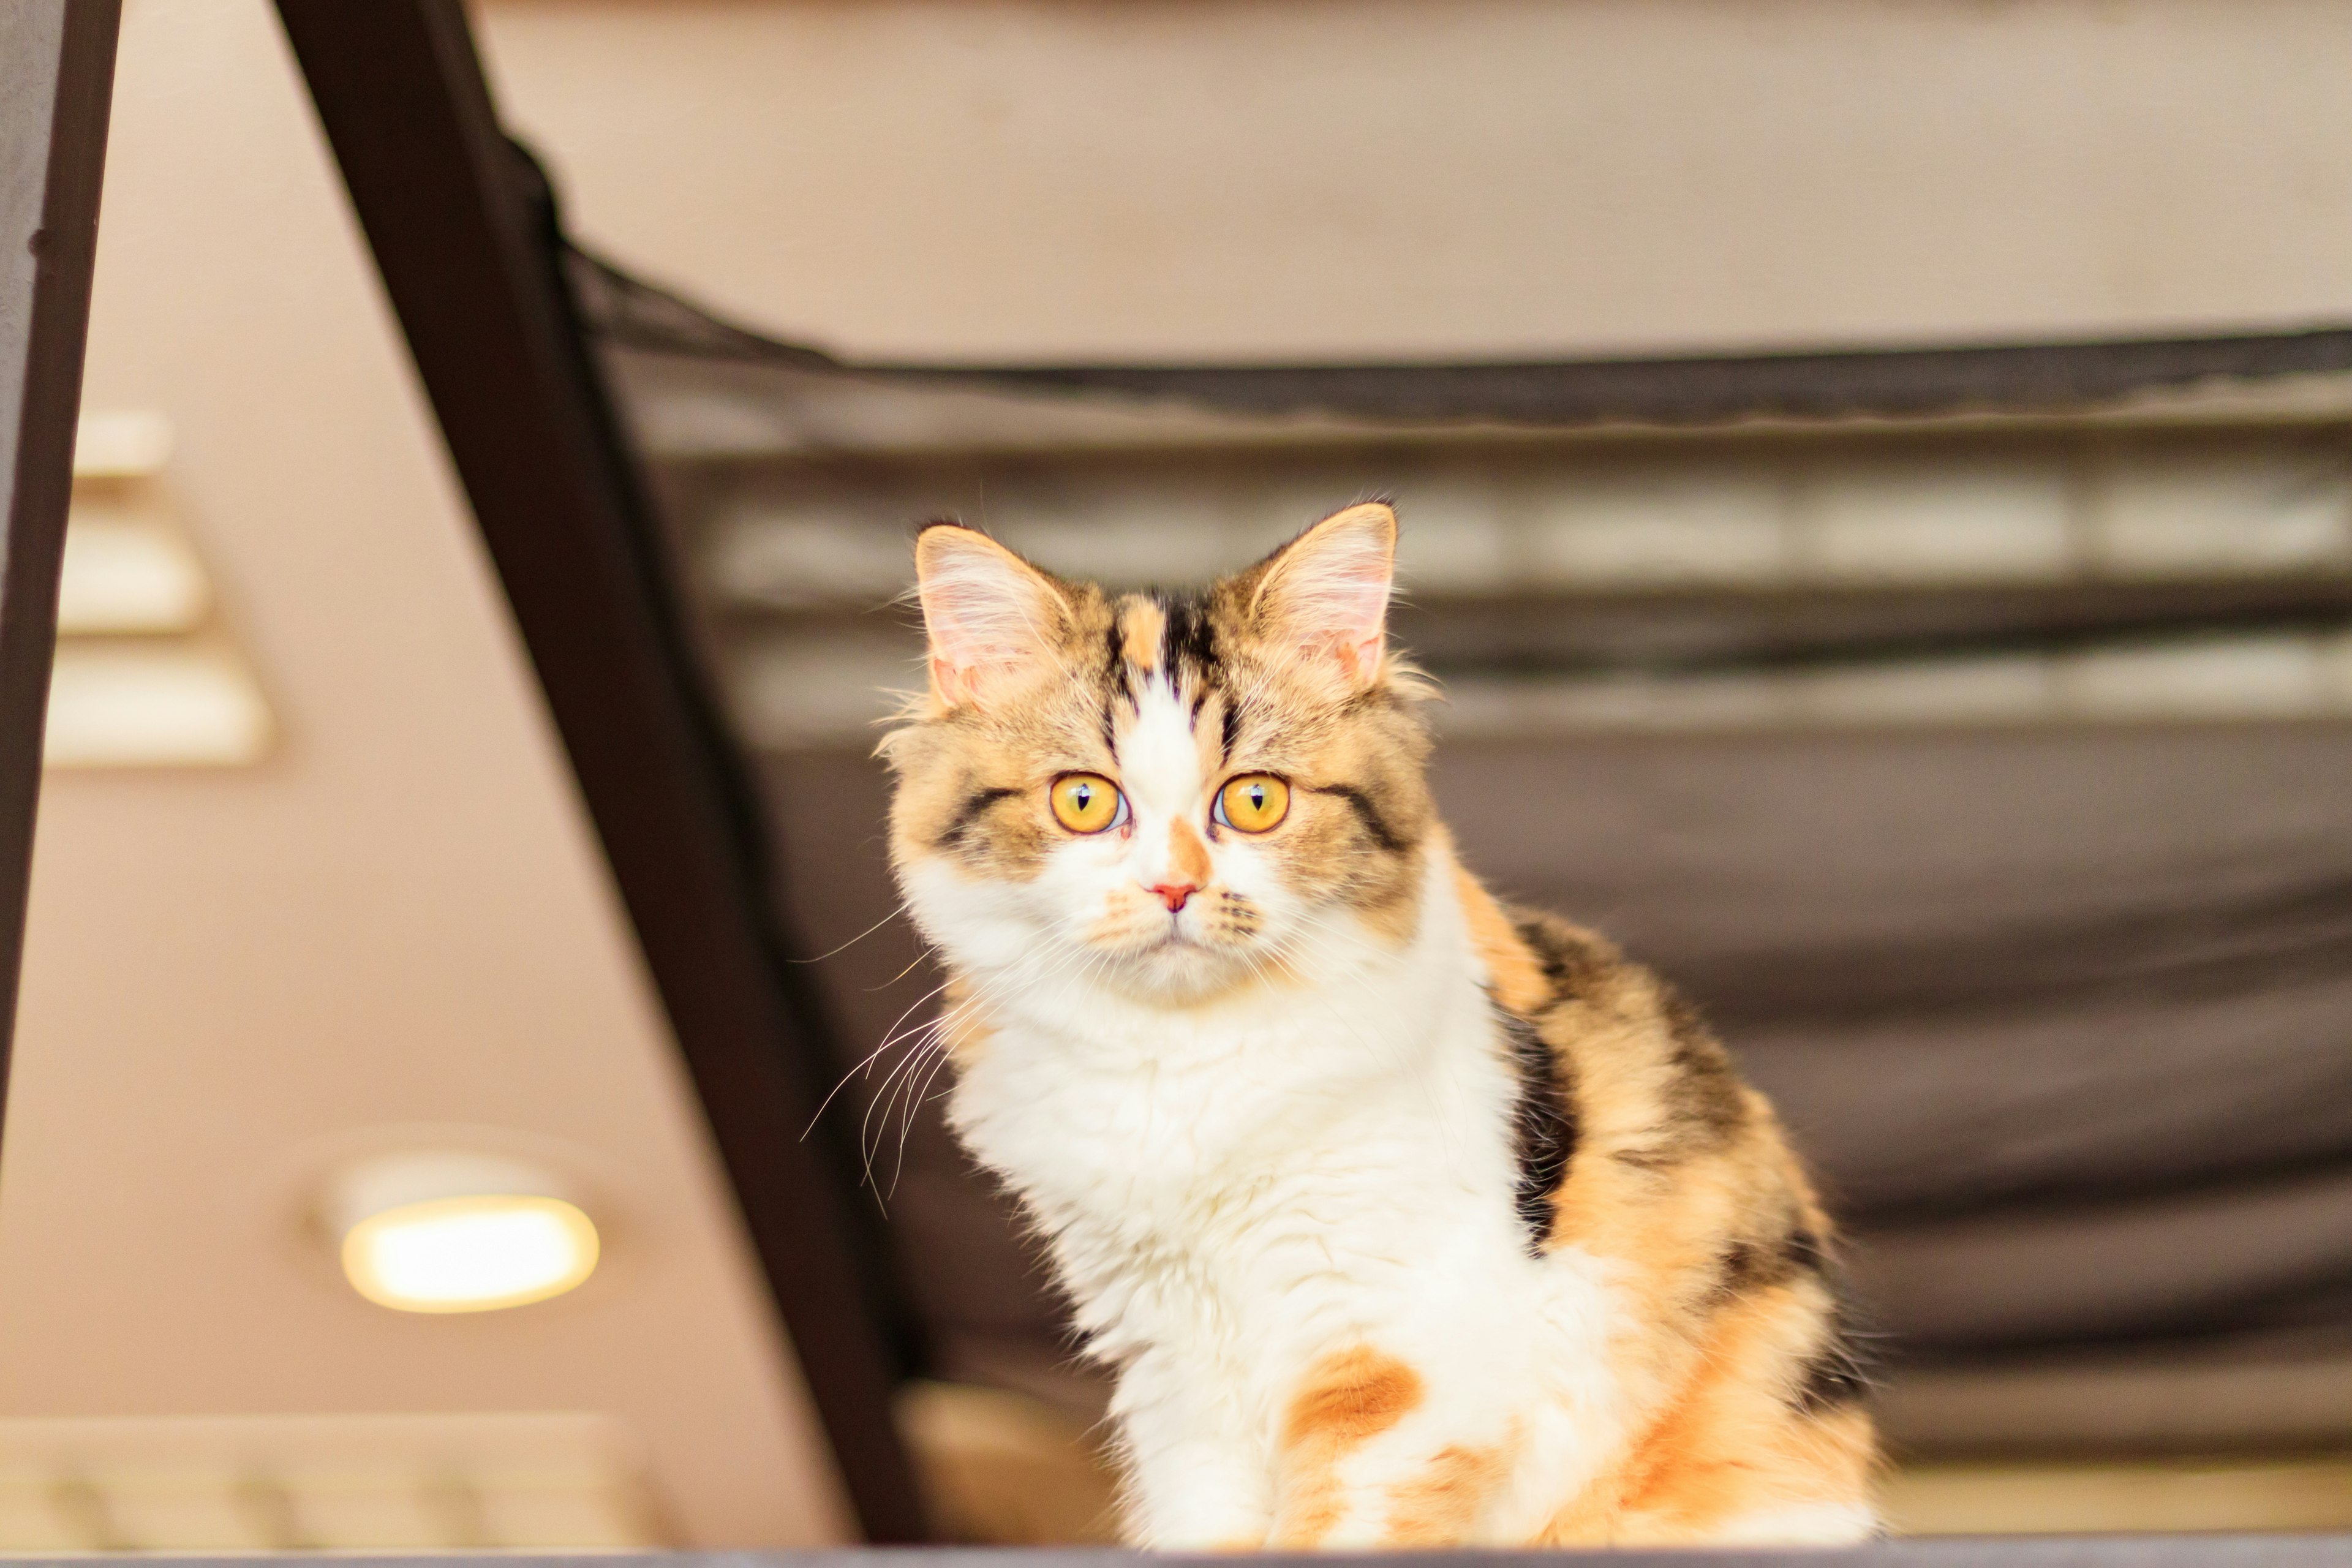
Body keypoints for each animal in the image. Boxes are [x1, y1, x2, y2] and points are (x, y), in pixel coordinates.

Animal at [880, 500, 1872, 1542]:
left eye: (1256, 800)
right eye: (1083, 801)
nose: (1174, 887)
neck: (1179, 1066)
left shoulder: (1396, 1365)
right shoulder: (1175, 1379)